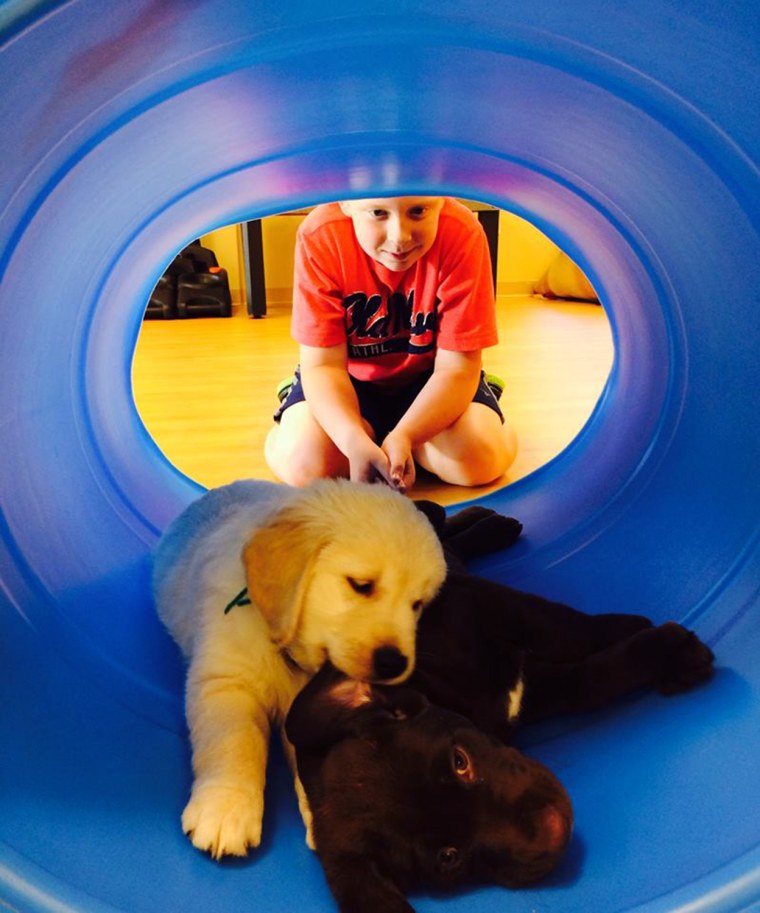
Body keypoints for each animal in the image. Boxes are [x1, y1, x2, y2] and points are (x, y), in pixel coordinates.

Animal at [151, 478, 446, 864]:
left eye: (417, 604)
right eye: (361, 585)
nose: (395, 663)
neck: (289, 653)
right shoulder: (228, 681)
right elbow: (234, 742)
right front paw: (226, 806)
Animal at [284, 502, 712, 908]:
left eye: (459, 760)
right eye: (448, 857)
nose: (554, 829)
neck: (444, 690)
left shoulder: (485, 603)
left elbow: (567, 628)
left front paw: (649, 636)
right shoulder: (531, 689)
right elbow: (590, 679)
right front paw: (671, 653)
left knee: (438, 523)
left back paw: (486, 520)